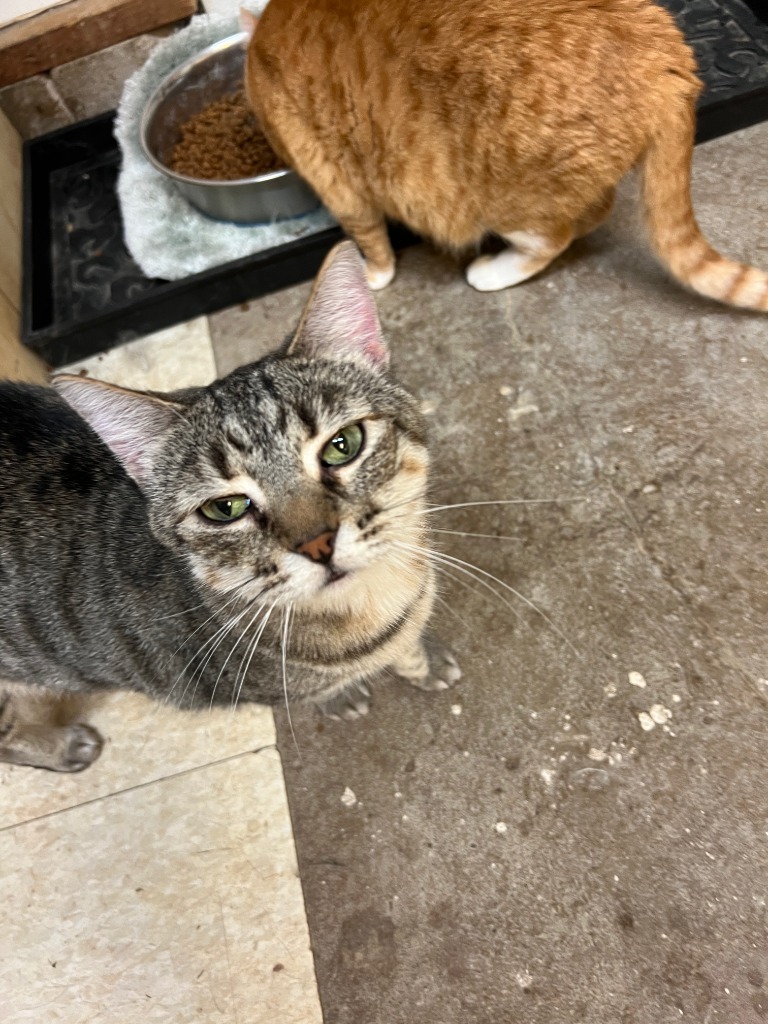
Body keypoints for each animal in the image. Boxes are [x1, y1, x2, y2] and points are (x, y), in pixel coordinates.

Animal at [0, 241, 456, 770]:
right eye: (227, 508)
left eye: (343, 445)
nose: (318, 544)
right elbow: (319, 690)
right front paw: (348, 694)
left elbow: (406, 648)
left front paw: (422, 659)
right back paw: (63, 747)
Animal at [244, 0, 768, 311]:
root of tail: (666, 56)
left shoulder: (338, 183)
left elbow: (371, 242)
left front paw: (373, 276)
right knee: (595, 211)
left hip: (503, 201)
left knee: (552, 238)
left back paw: (492, 273)